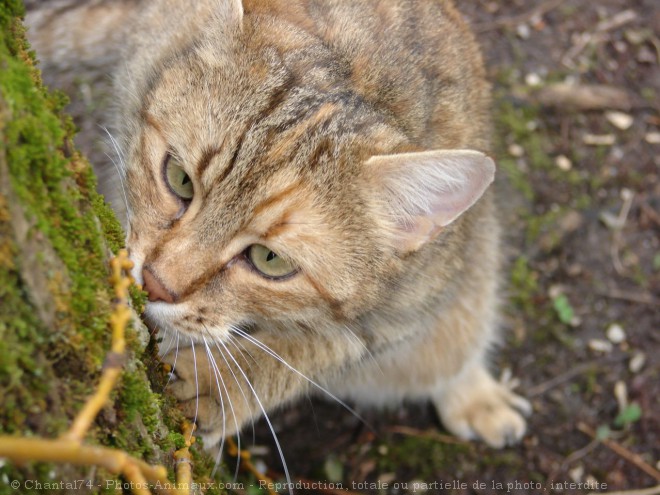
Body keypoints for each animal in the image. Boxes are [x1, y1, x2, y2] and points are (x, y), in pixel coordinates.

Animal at [27, 0, 532, 462]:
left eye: (270, 260)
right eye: (180, 179)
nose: (155, 284)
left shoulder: (410, 307)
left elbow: (315, 348)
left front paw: (220, 383)